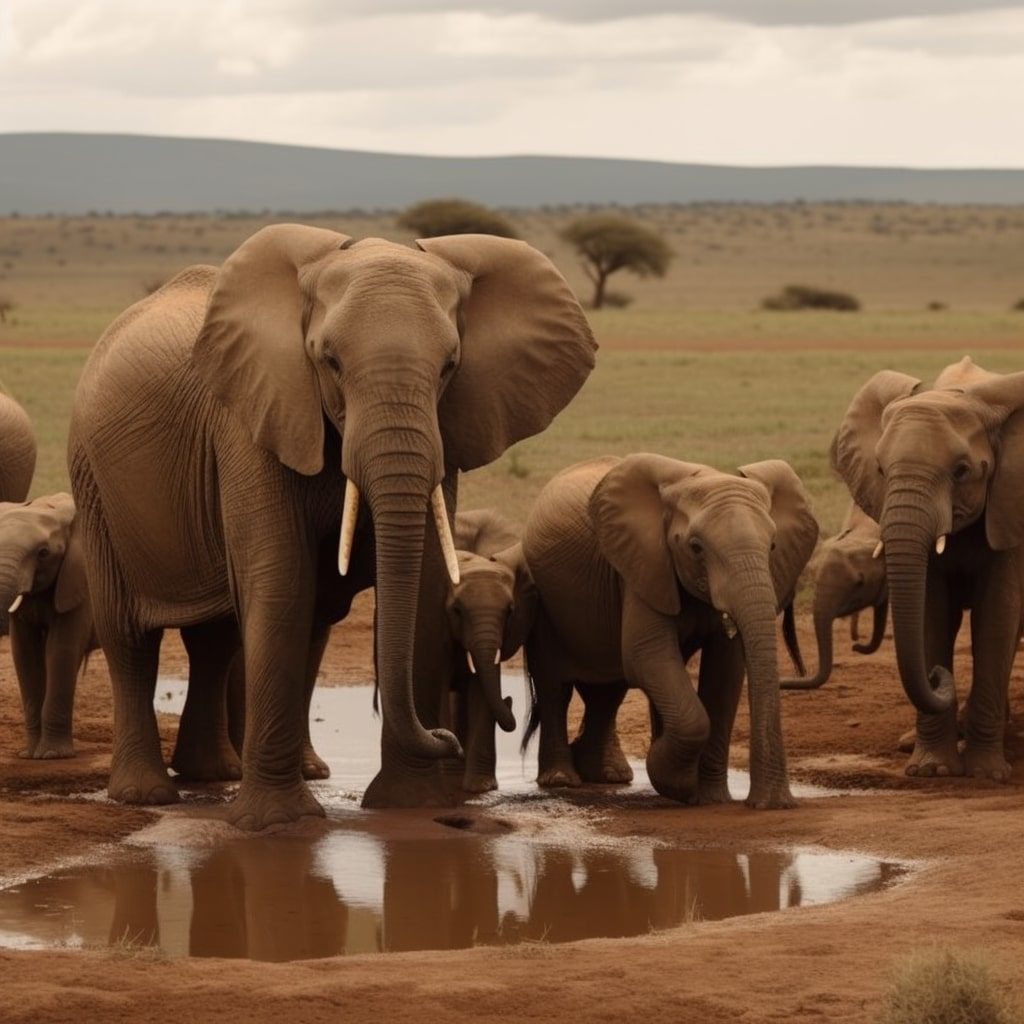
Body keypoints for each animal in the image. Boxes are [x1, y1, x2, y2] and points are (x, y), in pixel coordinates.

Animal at [0, 495, 95, 761]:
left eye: (43, 553)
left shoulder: (80, 582)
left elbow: (61, 650)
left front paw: (52, 755)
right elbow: (25, 654)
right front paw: (29, 755)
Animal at [70, 224, 593, 823]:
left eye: (449, 367)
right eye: (331, 362)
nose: (447, 737)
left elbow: (423, 582)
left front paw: (409, 807)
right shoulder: (252, 414)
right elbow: (280, 580)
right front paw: (278, 822)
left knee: (216, 639)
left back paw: (214, 775)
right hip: (92, 477)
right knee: (129, 635)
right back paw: (146, 795)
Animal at [831, 356, 1024, 778]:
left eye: (962, 471)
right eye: (881, 470)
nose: (937, 677)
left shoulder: (1011, 507)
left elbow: (997, 615)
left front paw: (986, 774)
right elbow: (929, 614)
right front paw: (931, 770)